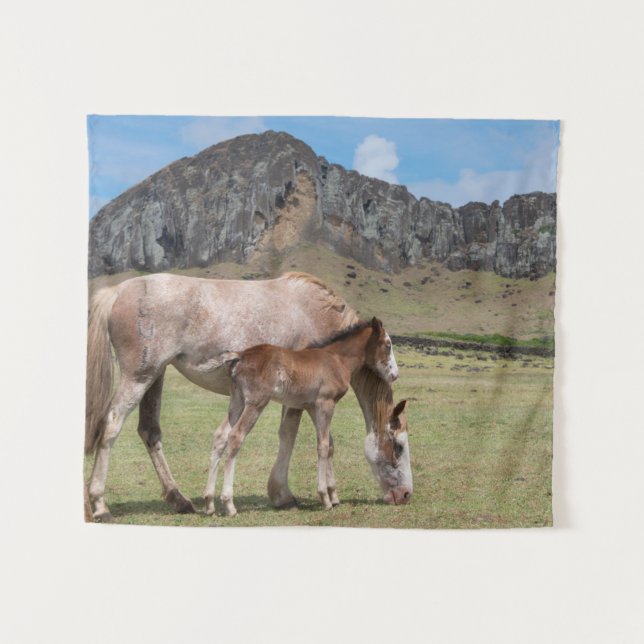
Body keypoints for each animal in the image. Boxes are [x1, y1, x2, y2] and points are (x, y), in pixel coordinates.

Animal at [206, 317, 411, 516]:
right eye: (387, 344)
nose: (395, 375)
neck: (337, 360)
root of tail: (240, 355)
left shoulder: (312, 407)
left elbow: (330, 444)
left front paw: (333, 495)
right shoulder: (325, 403)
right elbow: (323, 445)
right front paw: (325, 498)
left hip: (237, 401)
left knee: (221, 435)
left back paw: (209, 502)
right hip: (256, 402)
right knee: (236, 436)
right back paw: (229, 504)